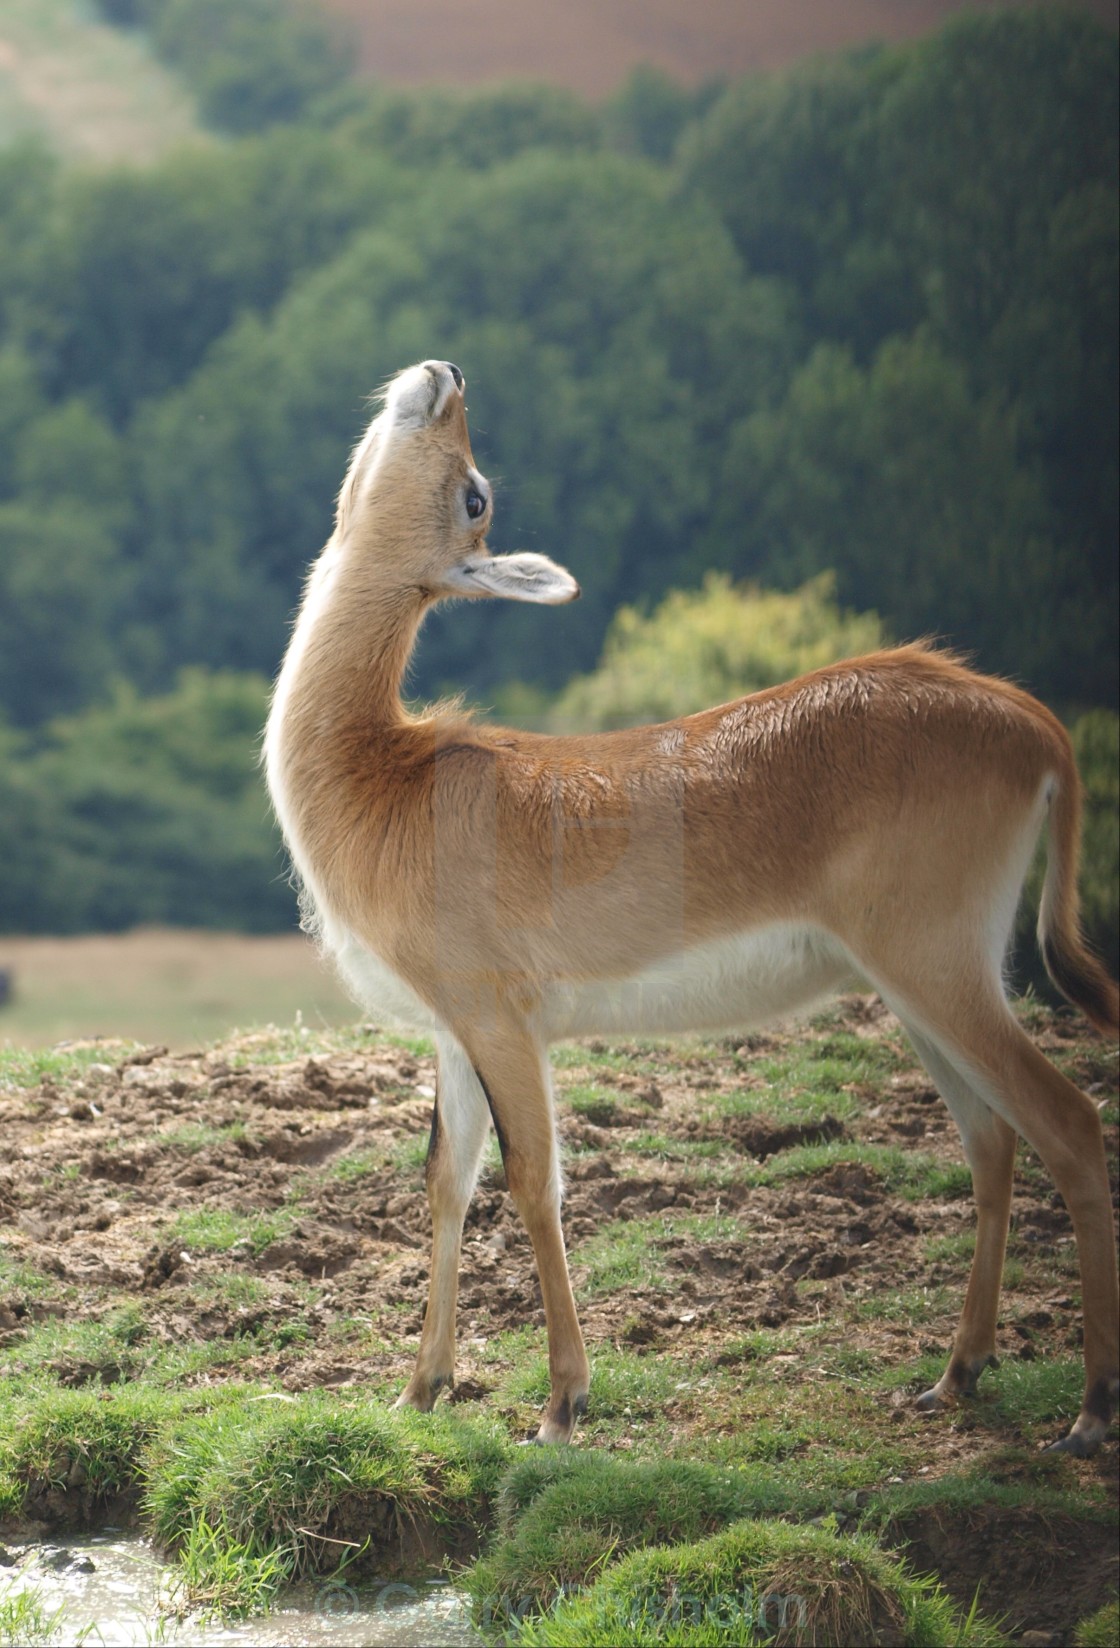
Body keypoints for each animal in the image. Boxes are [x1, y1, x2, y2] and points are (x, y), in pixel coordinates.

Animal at [265, 360, 1120, 1456]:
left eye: (477, 493)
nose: (446, 375)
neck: (385, 773)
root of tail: (1033, 722)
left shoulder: (501, 1019)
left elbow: (534, 1181)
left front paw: (561, 1406)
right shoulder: (453, 1031)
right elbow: (446, 1181)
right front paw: (419, 1391)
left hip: (938, 966)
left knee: (1068, 1120)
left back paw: (1089, 1412)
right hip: (922, 986)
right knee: (992, 1136)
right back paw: (952, 1377)